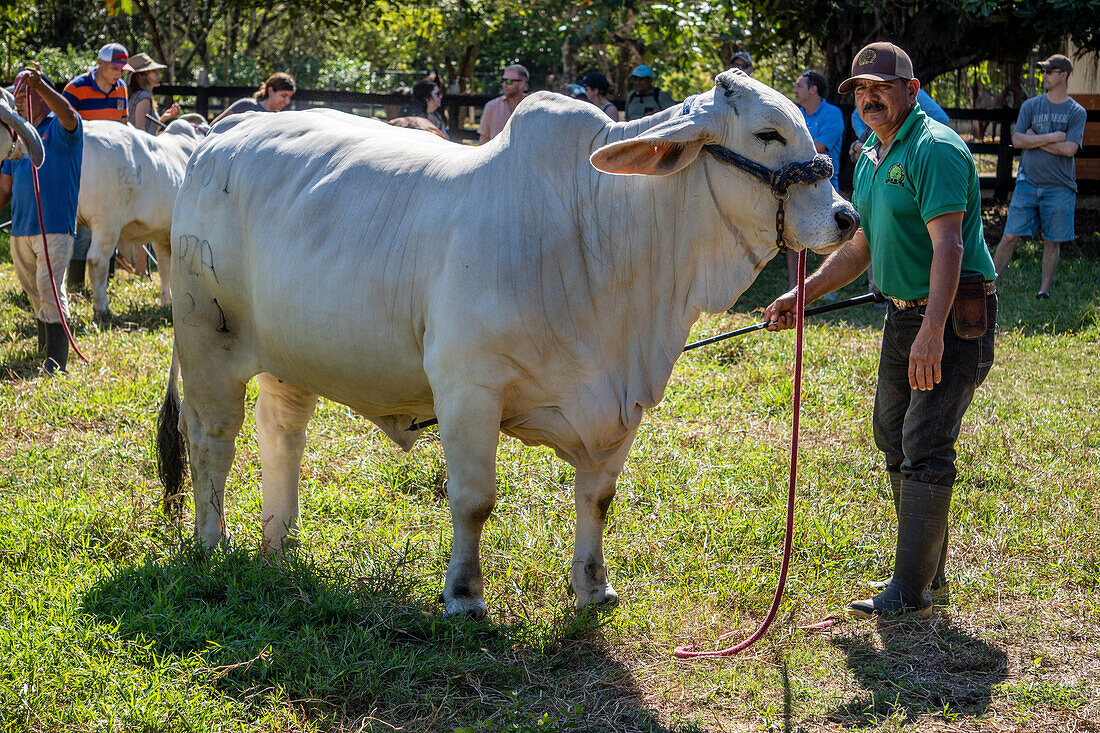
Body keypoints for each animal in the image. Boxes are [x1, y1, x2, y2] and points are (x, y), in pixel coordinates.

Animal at [78, 117, 206, 314]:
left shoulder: (162, 233)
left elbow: (164, 266)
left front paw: (166, 301)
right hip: (106, 220)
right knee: (96, 260)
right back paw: (102, 309)